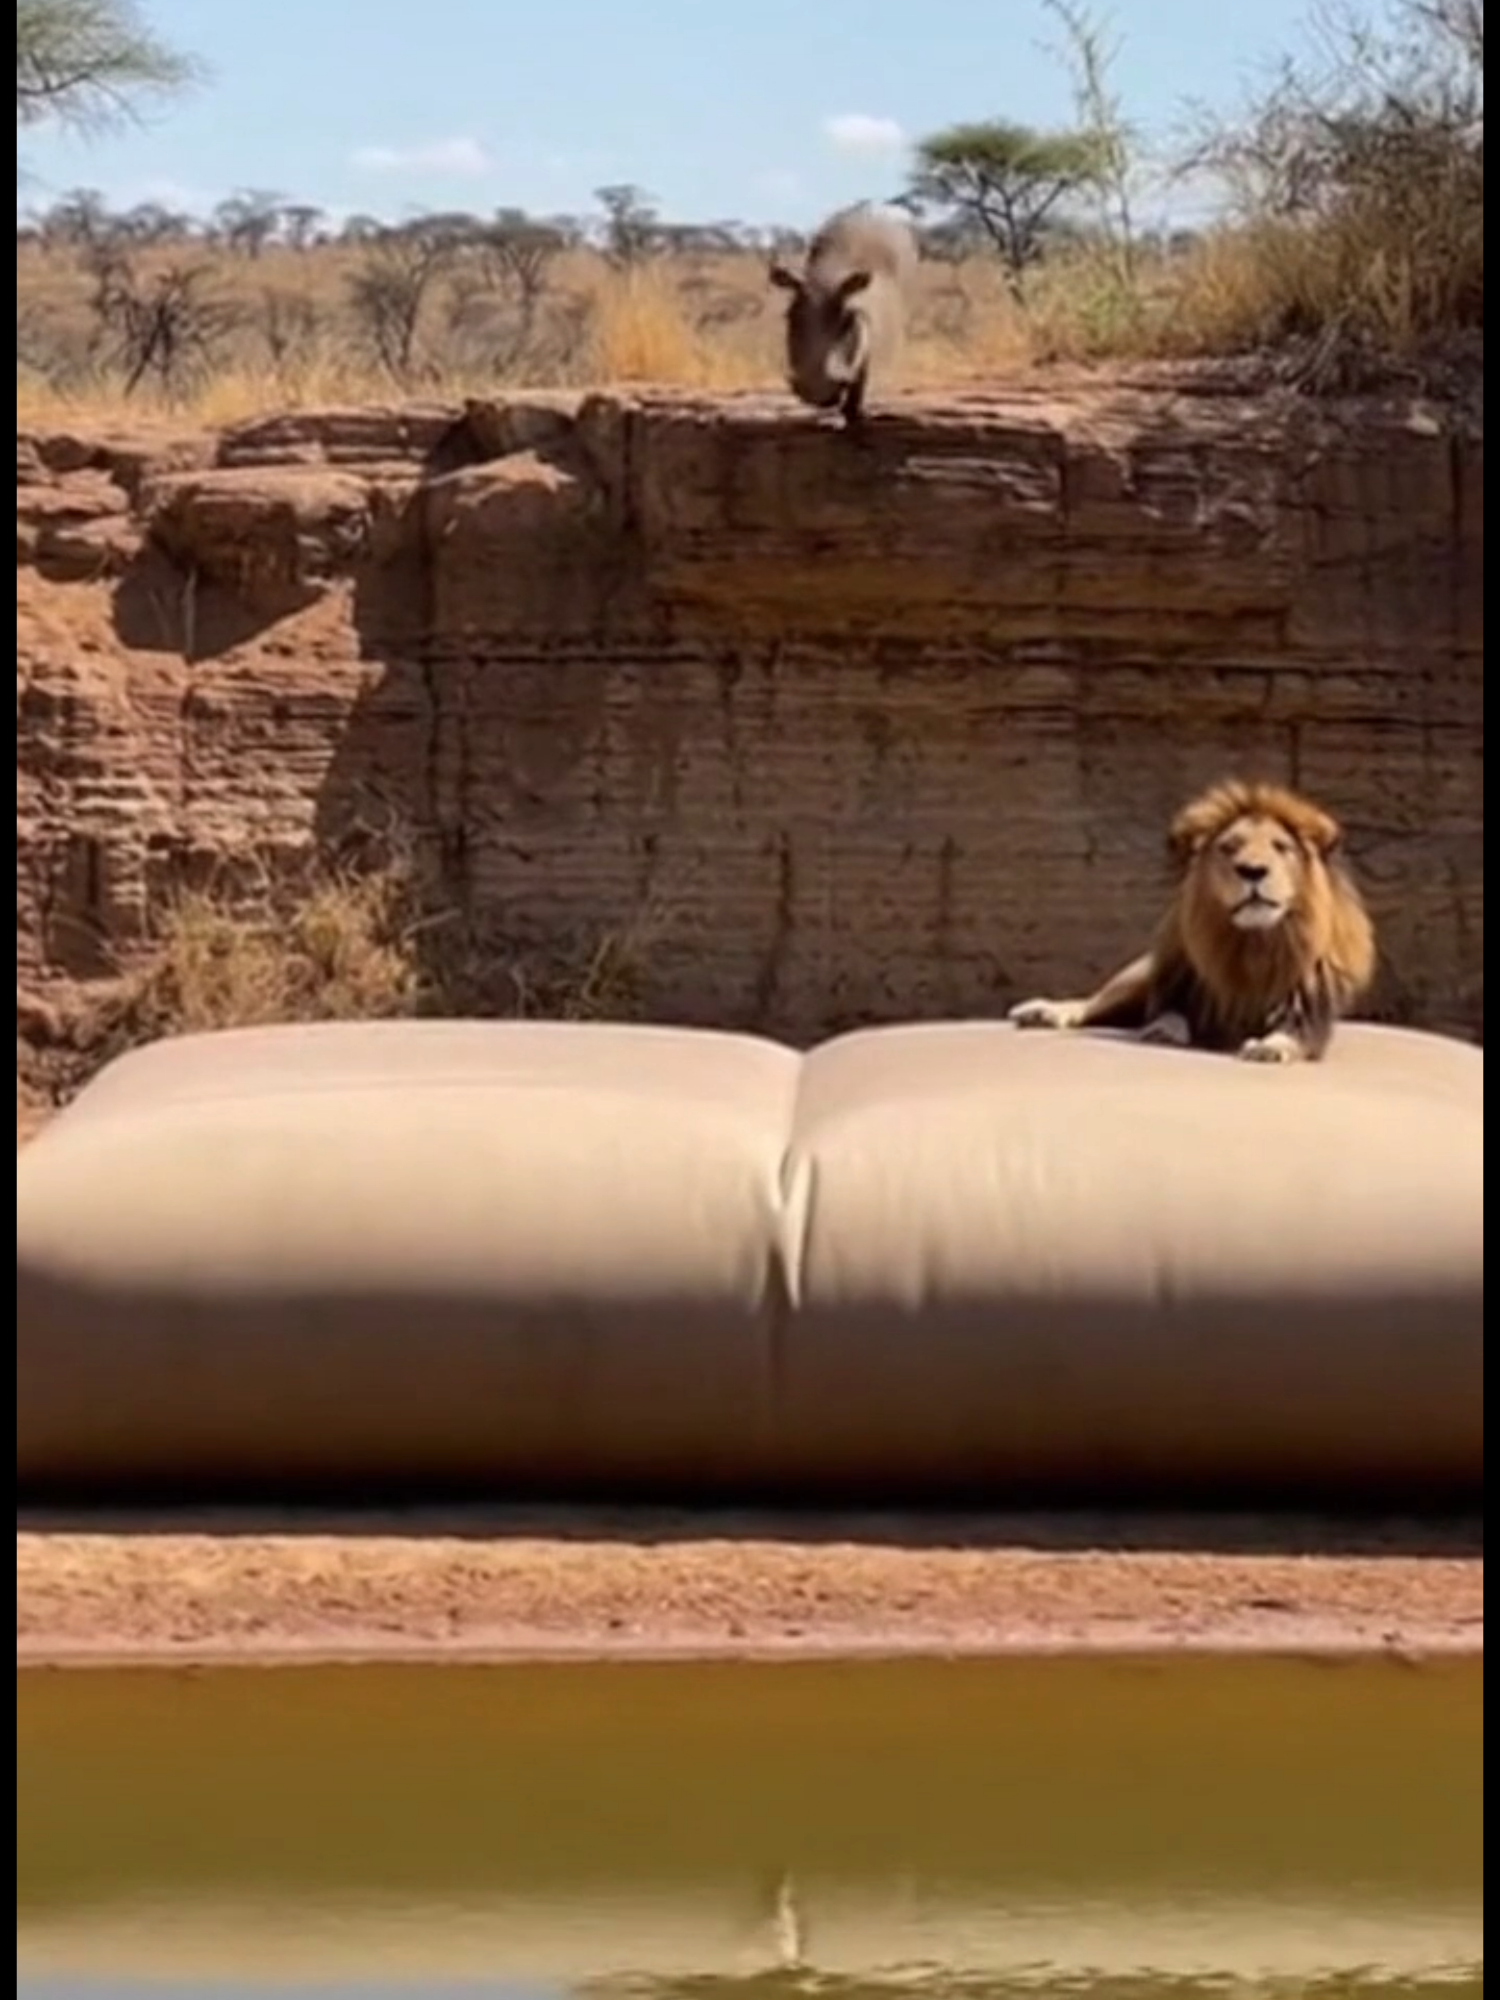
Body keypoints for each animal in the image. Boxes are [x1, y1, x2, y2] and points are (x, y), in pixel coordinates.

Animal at [1007, 780, 1377, 1064]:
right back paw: (1043, 1012)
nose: (1253, 871)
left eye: (1281, 847)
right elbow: (1170, 1013)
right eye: (1229, 847)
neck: (1254, 943)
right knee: (1093, 1003)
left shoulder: (1307, 1010)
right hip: (1137, 976)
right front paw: (1162, 1031)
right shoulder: (1177, 985)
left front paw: (1270, 1048)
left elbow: (1289, 1035)